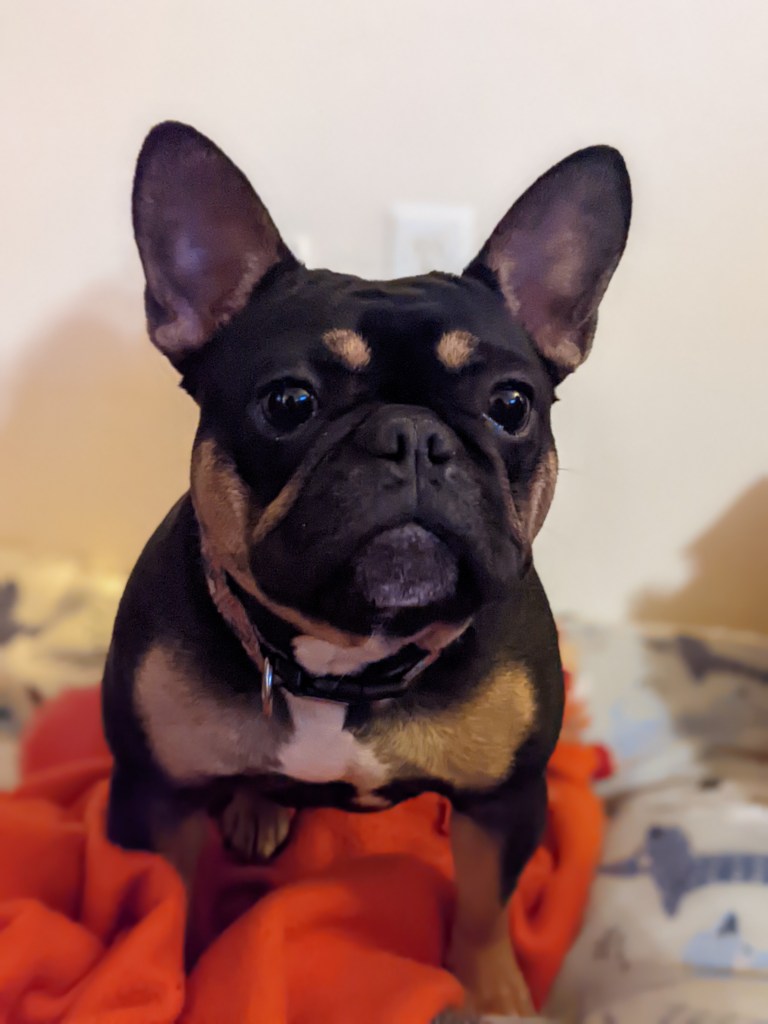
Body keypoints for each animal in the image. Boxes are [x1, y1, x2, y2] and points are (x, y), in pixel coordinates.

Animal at [102, 121, 631, 1016]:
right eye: (288, 402)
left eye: (511, 404)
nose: (412, 435)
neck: (343, 658)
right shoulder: (154, 796)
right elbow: (162, 905)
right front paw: (166, 982)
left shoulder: (507, 804)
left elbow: (485, 910)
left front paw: (494, 996)